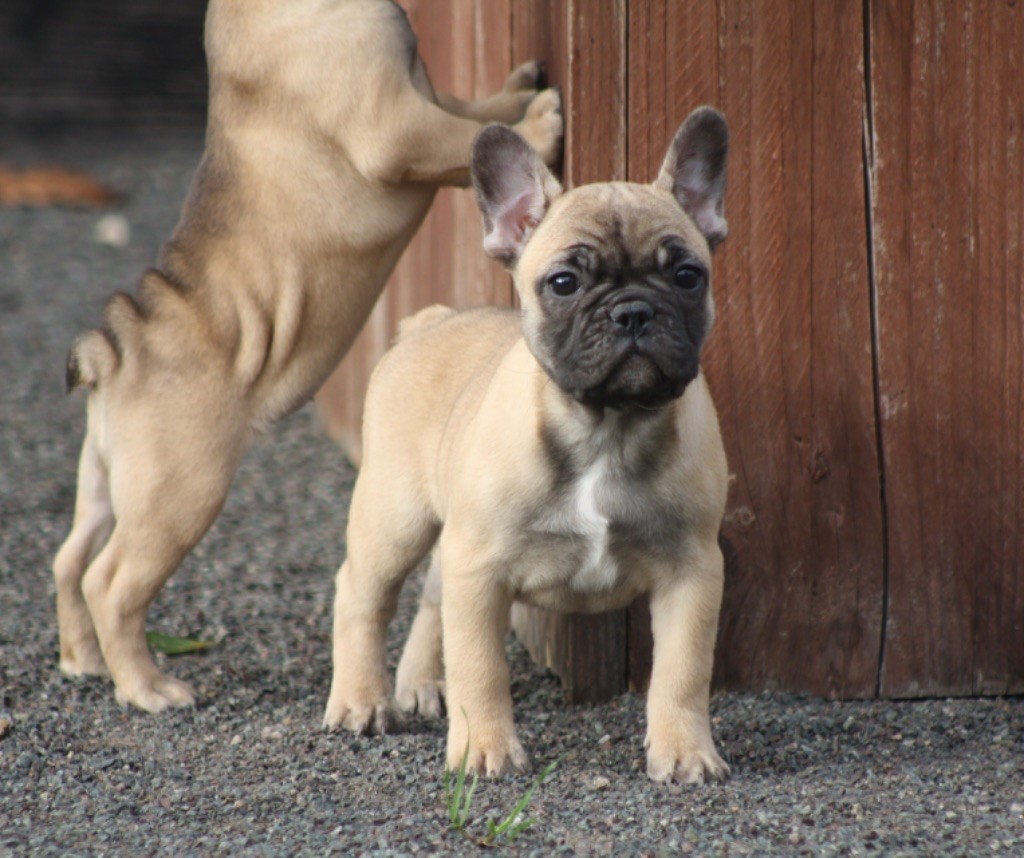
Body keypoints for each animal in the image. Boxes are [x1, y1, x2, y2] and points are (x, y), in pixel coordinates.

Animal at [51, 0, 565, 716]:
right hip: (178, 495)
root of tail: (117, 349)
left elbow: (472, 110)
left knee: (70, 559)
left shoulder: (424, 95)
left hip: (106, 480)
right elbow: (459, 134)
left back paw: (84, 660)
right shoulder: (397, 126)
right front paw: (538, 119)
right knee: (112, 582)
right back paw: (147, 686)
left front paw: (517, 91)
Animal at [323, 107, 733, 786]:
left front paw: (684, 751)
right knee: (363, 593)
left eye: (687, 276)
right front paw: (484, 748)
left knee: (432, 598)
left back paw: (419, 683)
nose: (633, 312)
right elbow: (481, 666)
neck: (606, 427)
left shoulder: (692, 572)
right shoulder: (482, 571)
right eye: (563, 283)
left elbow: (684, 671)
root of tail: (432, 320)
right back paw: (361, 700)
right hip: (395, 517)